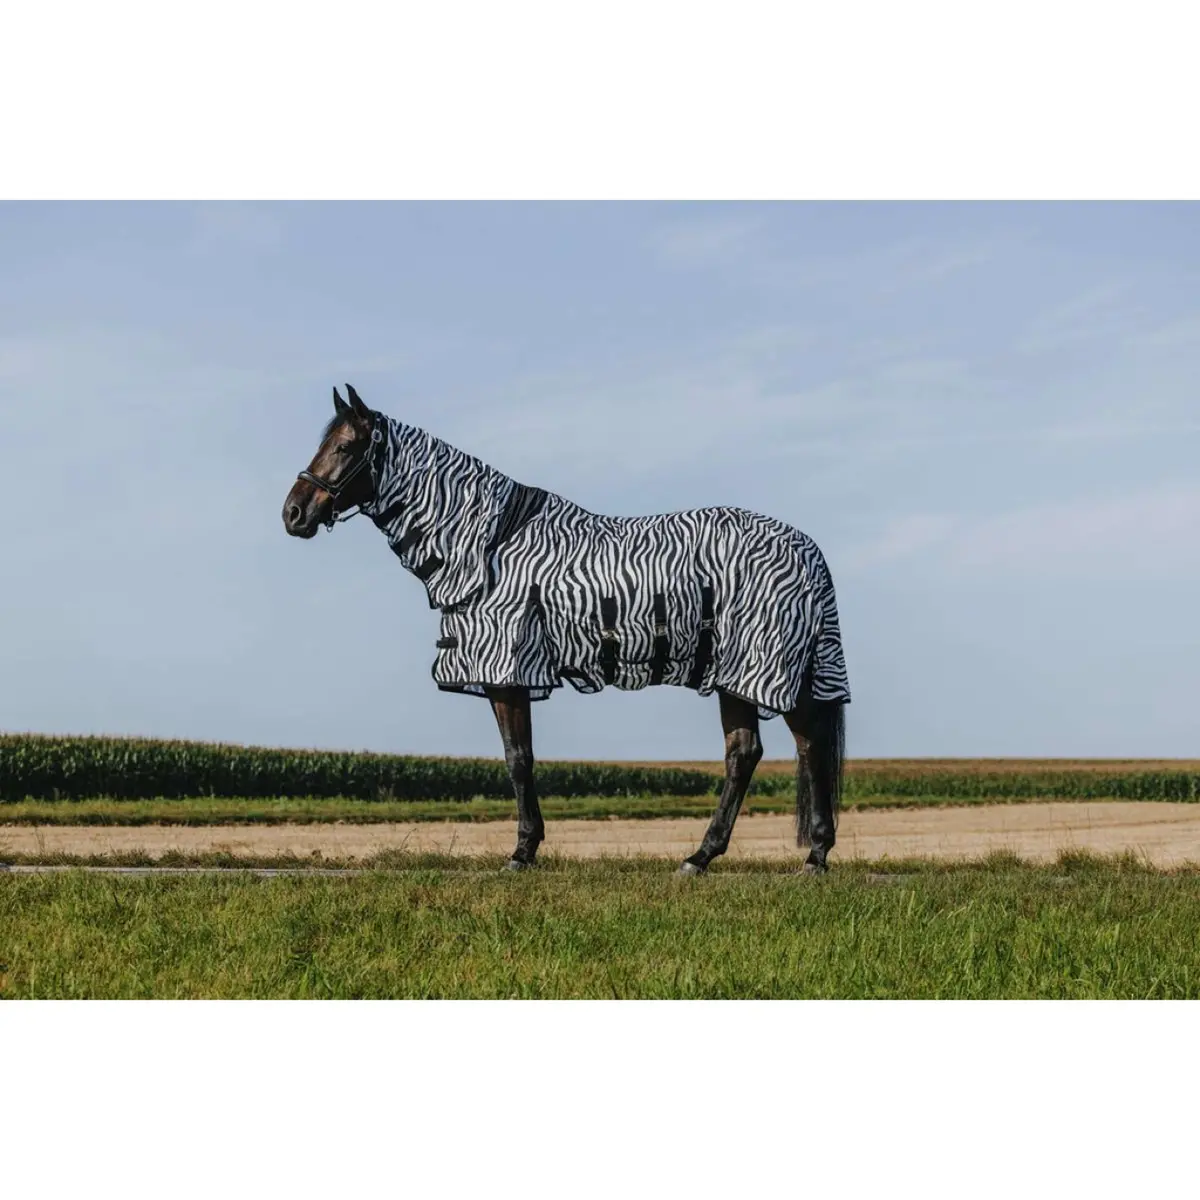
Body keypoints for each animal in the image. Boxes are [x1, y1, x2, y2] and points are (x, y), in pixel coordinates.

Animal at [283, 385, 850, 875]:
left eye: (345, 446)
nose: (294, 513)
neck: (490, 544)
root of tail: (808, 548)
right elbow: (522, 758)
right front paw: (527, 847)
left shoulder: (508, 672)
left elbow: (518, 760)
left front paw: (522, 852)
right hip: (736, 675)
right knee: (749, 753)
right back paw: (709, 856)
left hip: (762, 667)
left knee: (802, 747)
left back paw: (806, 856)